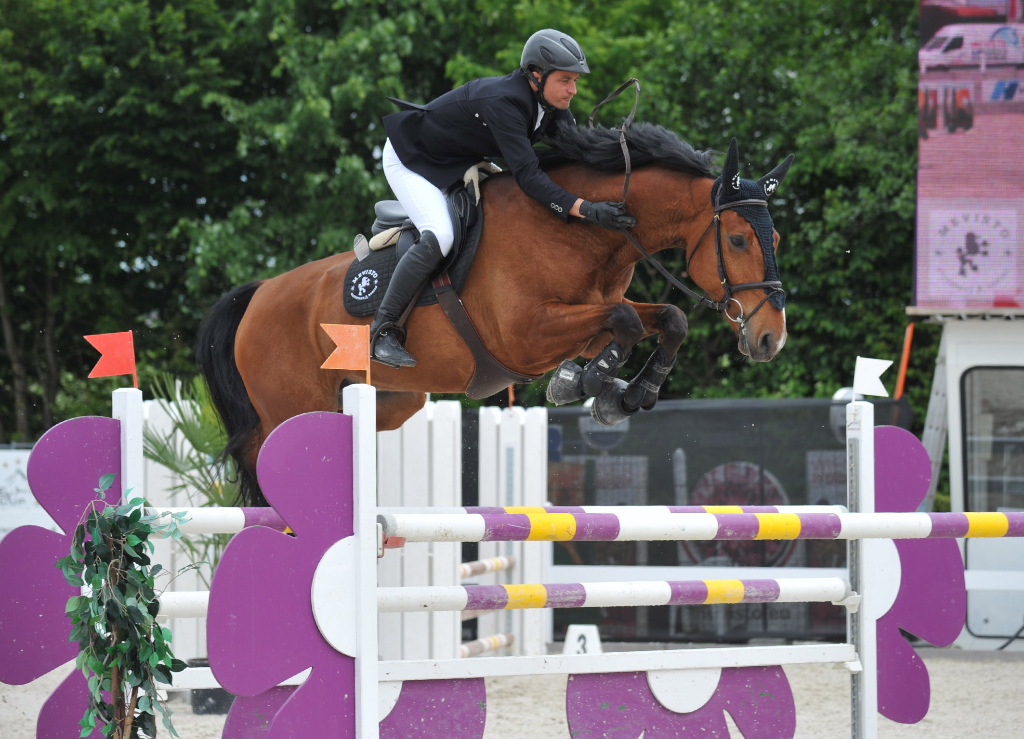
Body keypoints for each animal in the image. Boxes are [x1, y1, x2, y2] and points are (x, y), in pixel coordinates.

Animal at [195, 126, 794, 507]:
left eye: (777, 240)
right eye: (738, 240)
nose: (770, 339)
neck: (580, 231)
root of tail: (258, 294)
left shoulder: (582, 320)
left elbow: (666, 317)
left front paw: (621, 393)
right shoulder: (527, 336)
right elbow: (624, 318)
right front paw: (586, 384)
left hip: (390, 400)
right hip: (289, 407)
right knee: (261, 456)